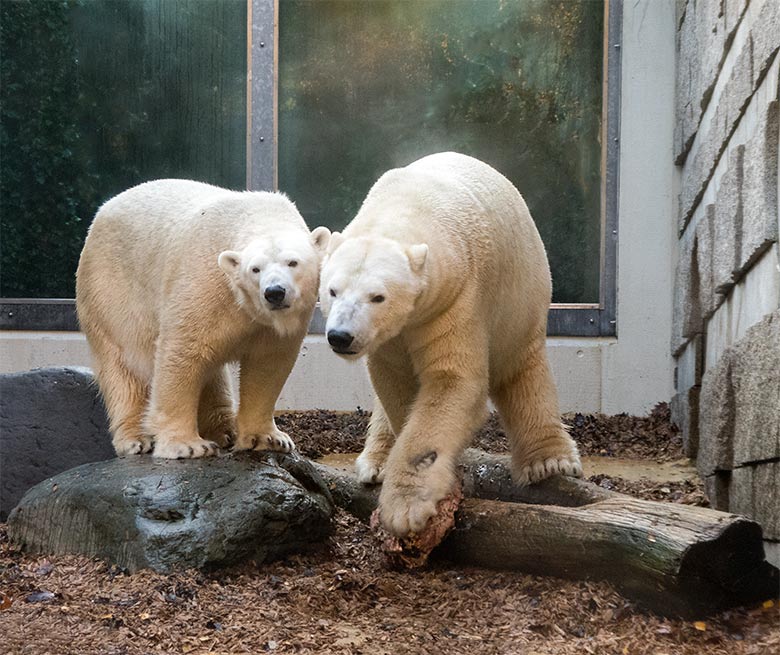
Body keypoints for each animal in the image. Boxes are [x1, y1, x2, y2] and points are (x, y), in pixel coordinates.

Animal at [74, 177, 328, 458]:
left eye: (293, 262)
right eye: (255, 269)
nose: (274, 292)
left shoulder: (268, 326)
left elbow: (266, 364)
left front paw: (269, 438)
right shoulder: (205, 284)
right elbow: (183, 353)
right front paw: (187, 445)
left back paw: (225, 430)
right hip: (111, 293)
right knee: (126, 366)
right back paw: (135, 439)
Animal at [316, 154, 580, 540]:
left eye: (378, 296)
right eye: (332, 290)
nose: (340, 336)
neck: (405, 206)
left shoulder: (456, 297)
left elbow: (451, 382)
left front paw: (407, 509)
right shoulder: (391, 336)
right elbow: (396, 384)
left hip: (521, 292)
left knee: (522, 366)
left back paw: (549, 460)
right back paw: (375, 463)